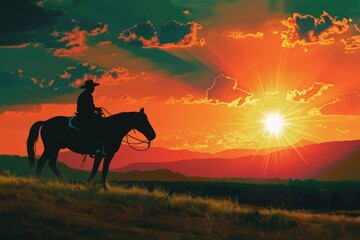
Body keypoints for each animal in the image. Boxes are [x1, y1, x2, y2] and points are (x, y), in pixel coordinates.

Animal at [26, 108, 156, 186]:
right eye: (143, 120)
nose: (153, 135)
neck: (112, 128)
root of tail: (45, 122)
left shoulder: (108, 155)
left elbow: (104, 169)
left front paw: (103, 185)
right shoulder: (101, 154)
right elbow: (96, 168)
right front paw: (92, 183)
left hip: (54, 148)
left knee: (49, 163)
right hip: (51, 147)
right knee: (44, 162)